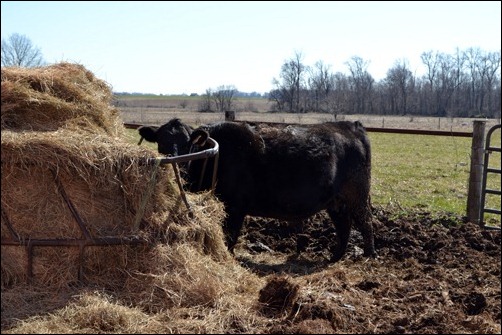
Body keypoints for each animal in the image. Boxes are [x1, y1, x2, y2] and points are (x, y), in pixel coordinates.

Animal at [139, 119, 374, 262]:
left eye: (189, 144)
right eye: (161, 143)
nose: (179, 168)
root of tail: (350, 125)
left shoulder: (235, 207)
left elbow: (230, 237)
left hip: (357, 197)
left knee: (365, 223)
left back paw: (368, 255)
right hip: (336, 202)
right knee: (344, 226)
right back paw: (335, 257)